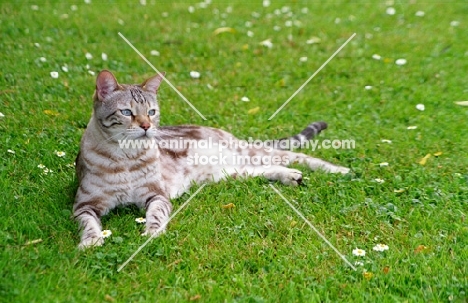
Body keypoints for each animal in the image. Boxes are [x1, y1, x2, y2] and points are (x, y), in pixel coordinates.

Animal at [73, 71, 350, 249]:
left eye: (151, 112)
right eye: (126, 112)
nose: (146, 126)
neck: (127, 157)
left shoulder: (156, 196)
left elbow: (156, 216)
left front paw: (152, 234)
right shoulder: (84, 204)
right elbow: (89, 225)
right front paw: (91, 242)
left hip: (249, 154)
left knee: (300, 156)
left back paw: (340, 170)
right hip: (233, 171)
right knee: (269, 168)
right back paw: (291, 176)